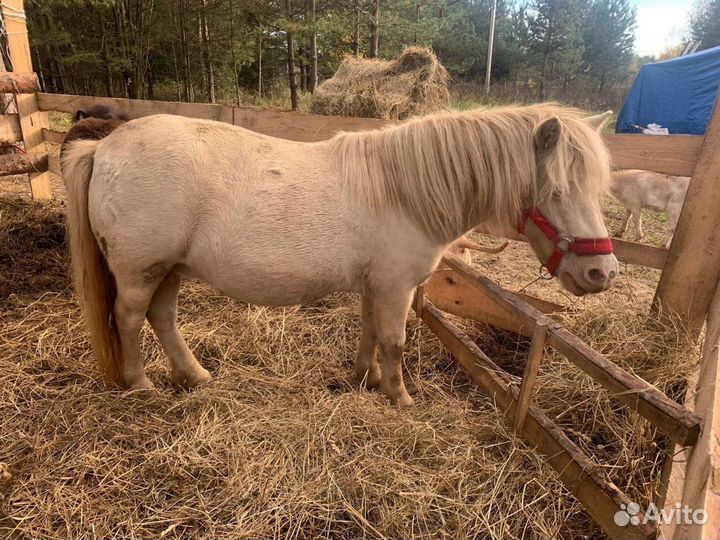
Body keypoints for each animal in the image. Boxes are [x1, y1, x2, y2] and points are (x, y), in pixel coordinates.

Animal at [62, 104, 616, 404]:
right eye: (557, 191)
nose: (602, 272)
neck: (403, 191)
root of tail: (104, 147)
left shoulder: (376, 287)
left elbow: (369, 333)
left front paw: (361, 379)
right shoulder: (396, 287)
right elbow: (395, 342)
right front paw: (399, 397)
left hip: (170, 269)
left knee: (162, 317)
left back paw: (194, 375)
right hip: (141, 270)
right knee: (129, 317)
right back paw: (140, 385)